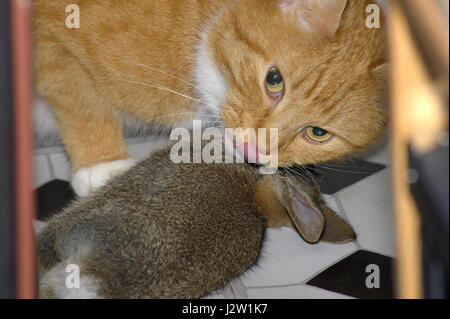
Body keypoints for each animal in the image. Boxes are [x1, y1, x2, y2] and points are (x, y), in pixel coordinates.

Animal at [33, 0, 388, 198]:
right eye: (274, 80)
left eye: (318, 133)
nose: (254, 148)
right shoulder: (48, 36)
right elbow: (81, 101)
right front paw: (102, 164)